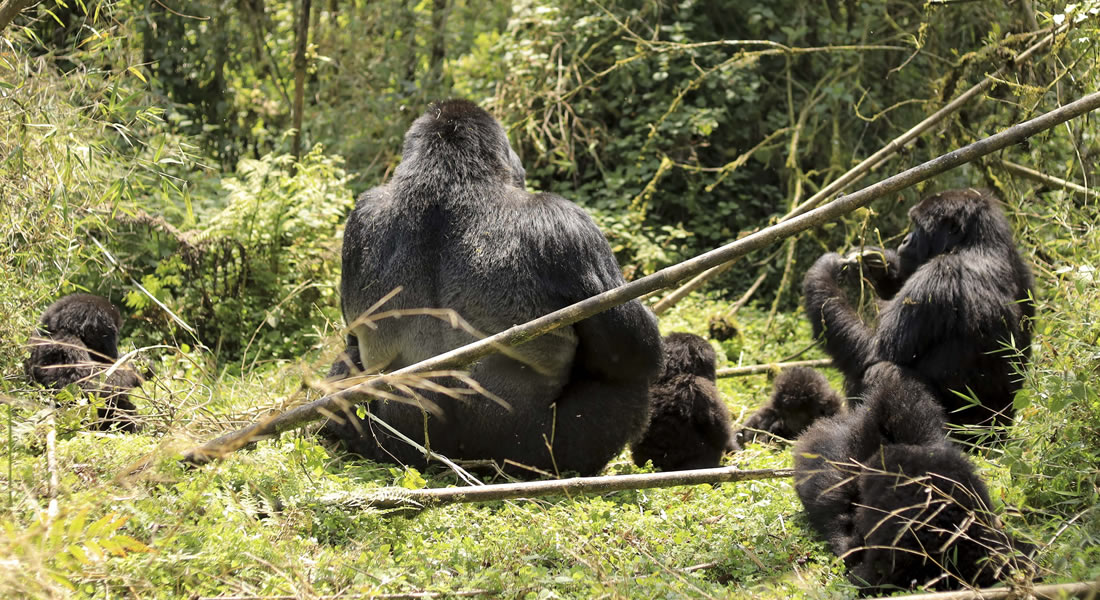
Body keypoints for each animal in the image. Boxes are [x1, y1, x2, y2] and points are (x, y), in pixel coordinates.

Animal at [321, 99, 660, 477]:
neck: (444, 179)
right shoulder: (566, 223)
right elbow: (634, 348)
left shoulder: (360, 215)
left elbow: (352, 339)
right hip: (529, 456)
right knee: (626, 380)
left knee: (347, 364)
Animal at [805, 189, 1034, 433]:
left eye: (918, 225)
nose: (905, 240)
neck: (978, 243)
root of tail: (998, 436)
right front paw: (879, 264)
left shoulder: (939, 275)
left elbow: (874, 351)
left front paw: (823, 272)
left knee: (884, 371)